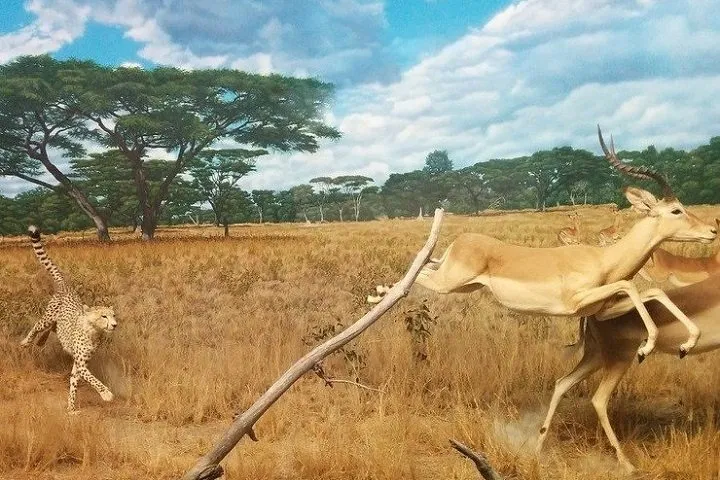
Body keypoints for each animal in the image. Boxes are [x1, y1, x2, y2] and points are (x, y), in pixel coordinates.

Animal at [20, 225, 118, 412]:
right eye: (104, 316)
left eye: (114, 315)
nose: (115, 325)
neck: (93, 331)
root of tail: (66, 285)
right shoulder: (81, 363)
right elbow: (93, 379)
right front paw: (106, 394)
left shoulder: (80, 363)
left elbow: (74, 381)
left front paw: (71, 407)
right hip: (48, 316)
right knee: (38, 326)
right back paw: (26, 342)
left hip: (55, 323)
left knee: (52, 328)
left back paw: (40, 342)